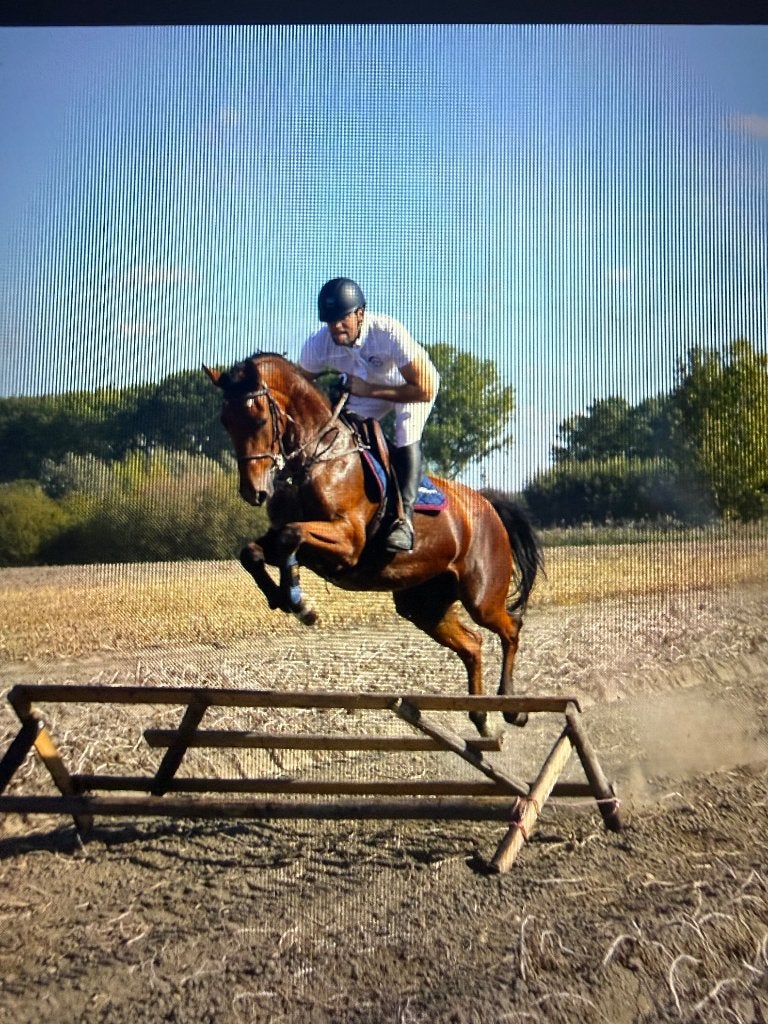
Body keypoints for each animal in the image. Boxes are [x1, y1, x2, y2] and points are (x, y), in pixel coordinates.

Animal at [204, 353, 544, 737]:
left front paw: (300, 604)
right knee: (472, 644)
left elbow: (292, 534)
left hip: (481, 596)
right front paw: (284, 598)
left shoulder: (348, 541)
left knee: (511, 628)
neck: (319, 458)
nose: (253, 492)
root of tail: (486, 504)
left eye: (260, 418)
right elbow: (253, 551)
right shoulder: (291, 540)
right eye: (226, 421)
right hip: (423, 605)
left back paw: (512, 708)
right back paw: (482, 718)